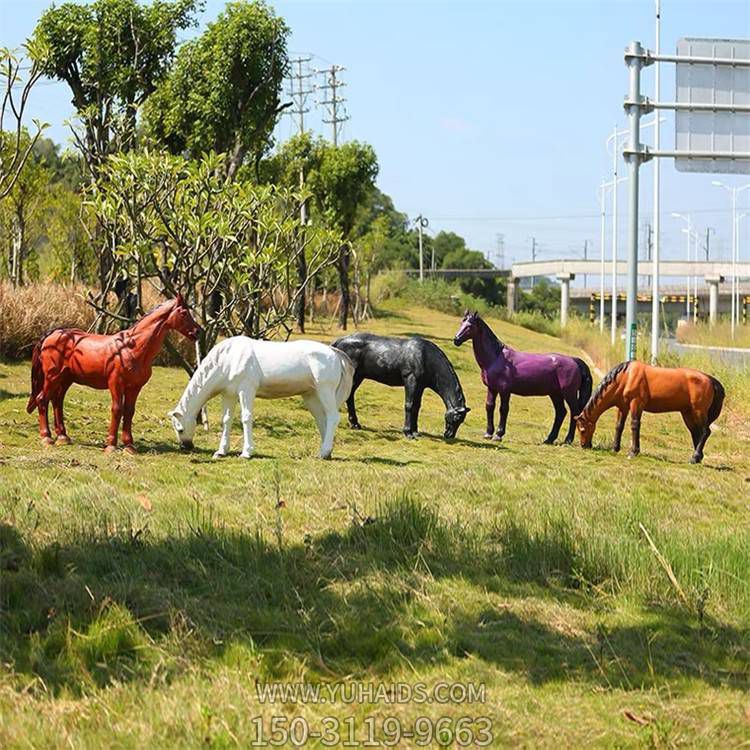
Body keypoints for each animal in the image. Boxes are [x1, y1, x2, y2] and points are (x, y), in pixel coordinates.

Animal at [26, 295, 199, 453]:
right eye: (184, 313)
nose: (198, 331)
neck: (131, 348)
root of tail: (52, 334)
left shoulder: (134, 387)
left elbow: (129, 411)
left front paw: (129, 446)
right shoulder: (116, 383)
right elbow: (117, 409)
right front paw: (111, 445)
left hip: (65, 379)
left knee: (57, 401)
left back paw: (63, 437)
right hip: (52, 377)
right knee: (42, 399)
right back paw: (47, 438)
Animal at [168, 337, 354, 460]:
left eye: (180, 429)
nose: (185, 447)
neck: (228, 359)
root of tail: (334, 352)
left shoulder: (246, 390)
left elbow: (246, 417)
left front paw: (247, 452)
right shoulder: (228, 394)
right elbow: (226, 420)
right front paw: (221, 451)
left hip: (325, 390)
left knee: (332, 417)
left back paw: (324, 451)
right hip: (311, 395)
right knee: (322, 419)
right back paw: (326, 452)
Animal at [332, 332, 470, 439]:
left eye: (462, 421)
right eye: (456, 418)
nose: (449, 435)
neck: (425, 356)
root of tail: (340, 341)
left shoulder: (420, 386)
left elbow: (416, 407)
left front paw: (415, 432)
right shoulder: (410, 380)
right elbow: (409, 405)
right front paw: (408, 432)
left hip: (358, 377)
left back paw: (354, 424)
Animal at [453, 310, 592, 444]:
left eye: (469, 326)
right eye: (461, 323)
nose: (456, 339)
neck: (496, 358)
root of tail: (574, 361)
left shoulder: (504, 390)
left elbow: (503, 409)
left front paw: (498, 435)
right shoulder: (492, 388)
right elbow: (489, 407)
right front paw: (488, 433)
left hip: (569, 394)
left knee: (574, 413)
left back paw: (568, 440)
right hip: (555, 394)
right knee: (561, 413)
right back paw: (549, 439)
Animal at [575, 360, 725, 463]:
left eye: (582, 429)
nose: (584, 446)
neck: (626, 376)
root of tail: (710, 380)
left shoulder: (636, 404)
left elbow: (635, 425)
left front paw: (633, 452)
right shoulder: (623, 407)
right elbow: (619, 426)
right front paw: (615, 448)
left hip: (698, 412)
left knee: (705, 432)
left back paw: (694, 457)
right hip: (687, 414)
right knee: (696, 433)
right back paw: (697, 457)